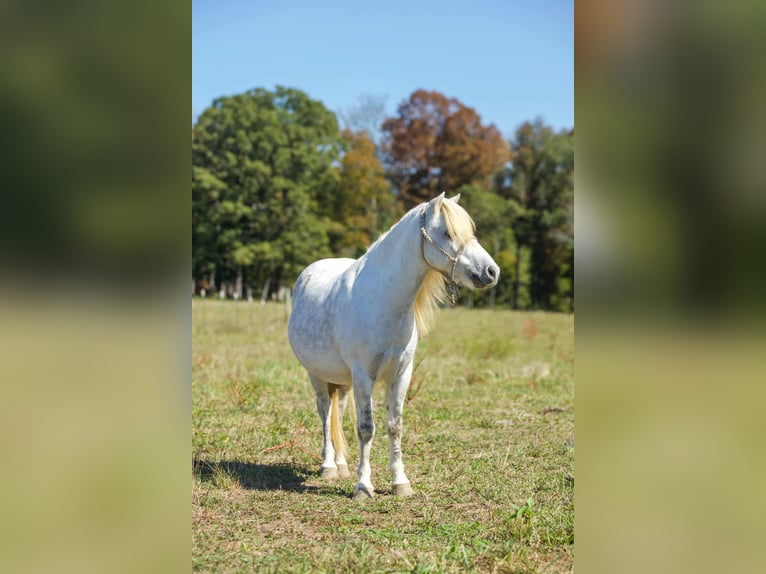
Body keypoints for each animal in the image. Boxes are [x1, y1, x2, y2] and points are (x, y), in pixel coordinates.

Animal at [287, 192, 500, 499]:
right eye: (447, 233)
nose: (491, 272)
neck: (383, 300)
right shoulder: (363, 376)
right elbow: (366, 429)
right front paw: (364, 486)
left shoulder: (400, 374)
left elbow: (395, 426)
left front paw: (400, 482)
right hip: (316, 375)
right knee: (326, 414)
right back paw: (328, 467)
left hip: (343, 380)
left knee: (339, 410)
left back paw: (341, 466)